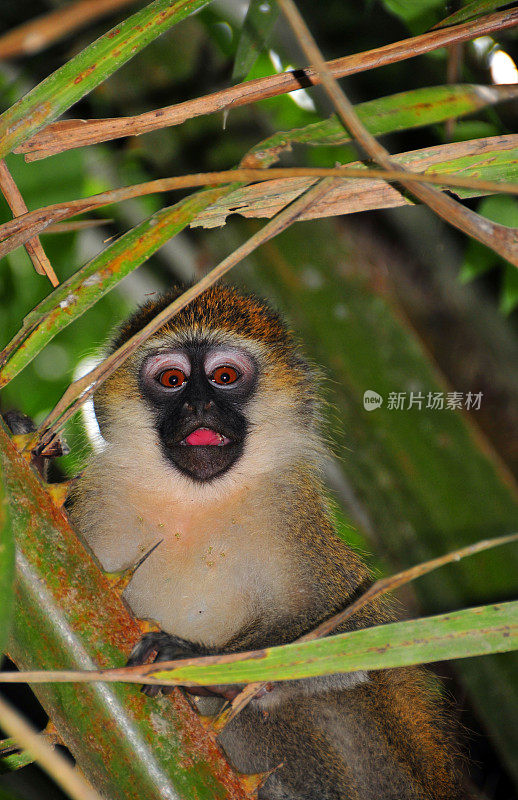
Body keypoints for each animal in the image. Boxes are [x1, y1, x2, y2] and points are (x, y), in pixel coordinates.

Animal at [67, 286, 466, 800]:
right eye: (173, 379)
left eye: (224, 377)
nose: (199, 406)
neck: (193, 500)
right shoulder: (98, 497)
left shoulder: (292, 507)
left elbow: (353, 633)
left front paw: (199, 663)